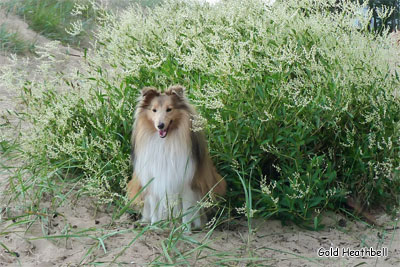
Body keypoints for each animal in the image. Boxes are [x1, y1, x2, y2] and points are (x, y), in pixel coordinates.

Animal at [126, 86, 225, 230]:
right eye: (154, 110)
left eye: (169, 109)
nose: (160, 125)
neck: (165, 141)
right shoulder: (153, 181)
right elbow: (155, 207)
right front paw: (155, 226)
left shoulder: (186, 183)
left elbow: (186, 211)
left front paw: (185, 230)